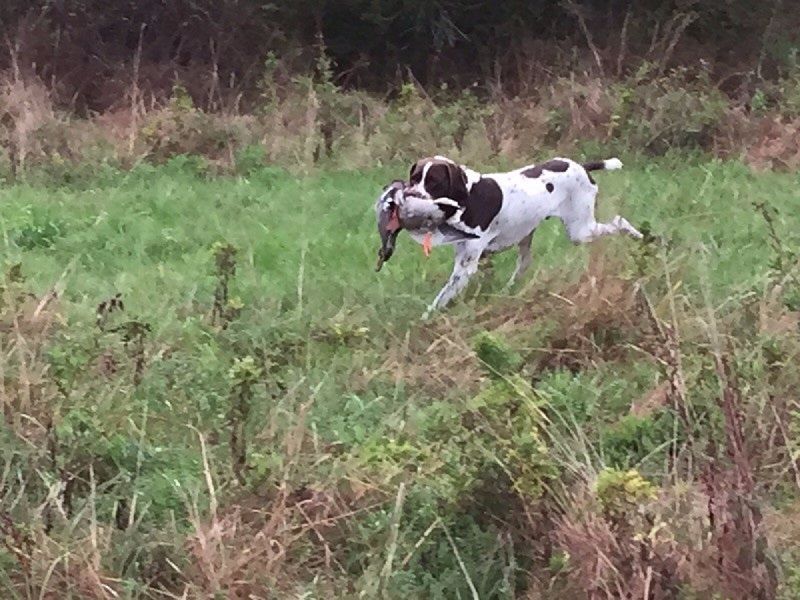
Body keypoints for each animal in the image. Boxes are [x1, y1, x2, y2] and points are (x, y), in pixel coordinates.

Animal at [376, 154, 644, 318]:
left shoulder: (465, 267)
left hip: (581, 230)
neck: (467, 196)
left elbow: (440, 299)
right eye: (414, 178)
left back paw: (638, 235)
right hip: (528, 232)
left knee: (619, 222)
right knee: (525, 263)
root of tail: (581, 166)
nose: (409, 195)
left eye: (434, 182)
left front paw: (425, 320)